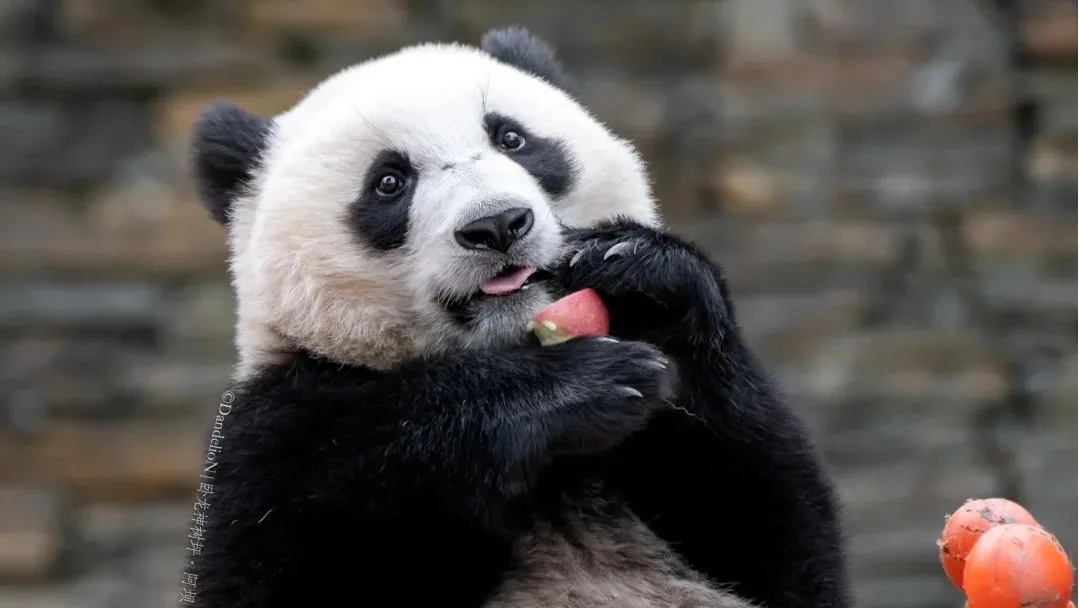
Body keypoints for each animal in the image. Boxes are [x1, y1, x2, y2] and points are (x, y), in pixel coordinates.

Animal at [186, 26, 851, 608]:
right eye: (389, 181)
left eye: (512, 139)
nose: (498, 224)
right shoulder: (276, 433)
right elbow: (306, 548)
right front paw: (574, 390)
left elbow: (779, 537)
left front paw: (648, 279)